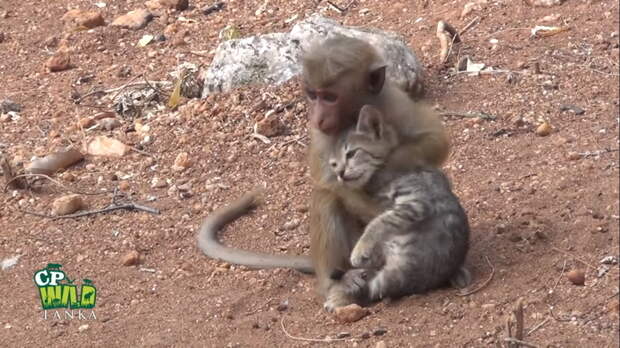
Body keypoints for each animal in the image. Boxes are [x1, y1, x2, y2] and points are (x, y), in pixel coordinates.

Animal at [330, 104, 470, 302]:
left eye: (351, 153)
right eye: (333, 164)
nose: (339, 173)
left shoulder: (417, 203)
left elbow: (378, 222)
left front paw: (360, 248)